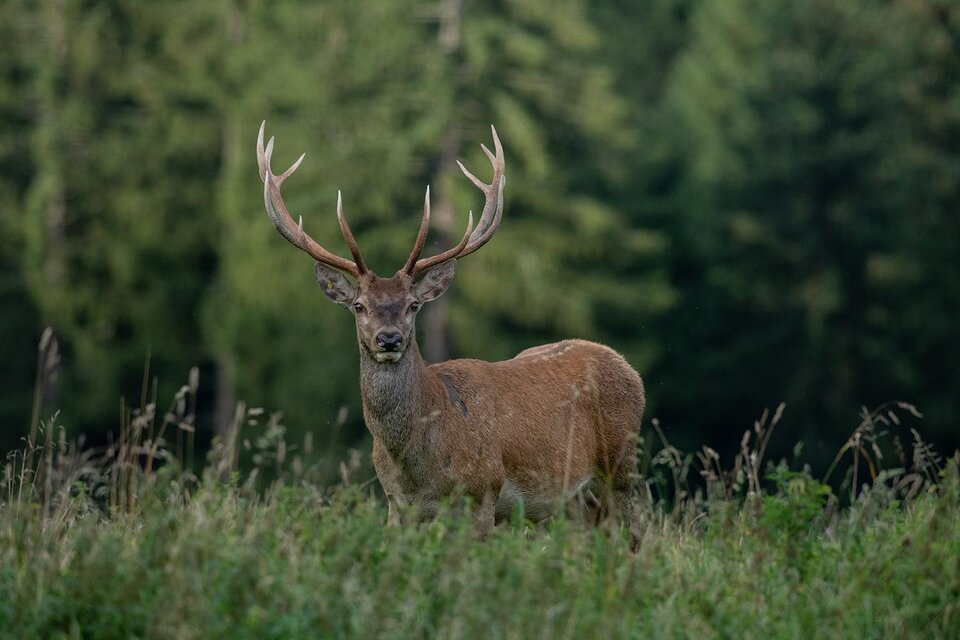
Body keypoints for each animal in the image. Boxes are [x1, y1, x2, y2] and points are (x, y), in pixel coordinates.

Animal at [256, 122, 645, 547]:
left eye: (413, 305)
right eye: (359, 305)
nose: (389, 339)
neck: (416, 465)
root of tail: (627, 367)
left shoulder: (484, 491)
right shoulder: (396, 504)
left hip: (621, 464)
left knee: (634, 534)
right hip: (576, 500)